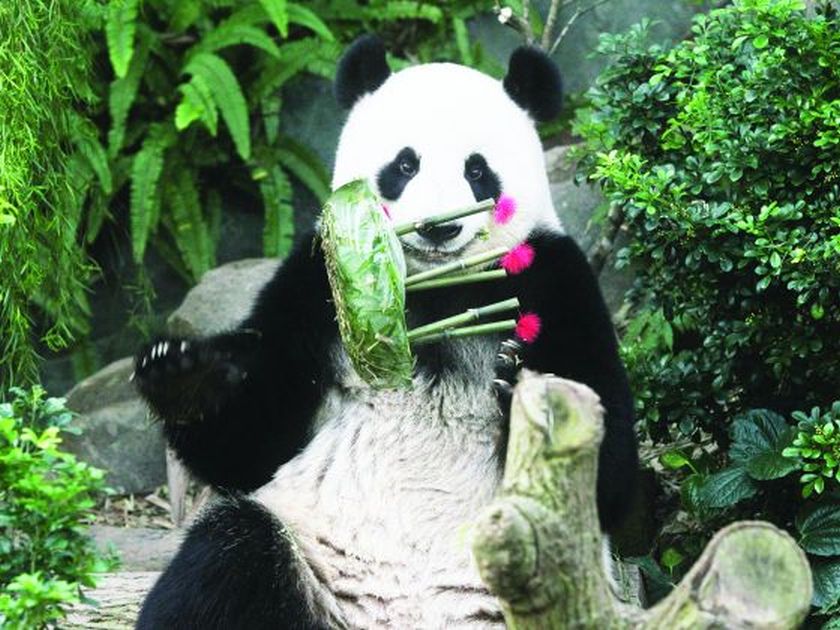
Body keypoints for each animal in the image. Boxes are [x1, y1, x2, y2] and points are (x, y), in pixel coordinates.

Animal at [133, 36, 637, 629]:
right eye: (404, 164)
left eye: (477, 171)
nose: (440, 227)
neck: (432, 286)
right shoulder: (315, 285)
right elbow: (249, 444)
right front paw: (186, 377)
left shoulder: (556, 279)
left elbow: (611, 477)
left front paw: (520, 394)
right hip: (306, 557)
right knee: (227, 557)